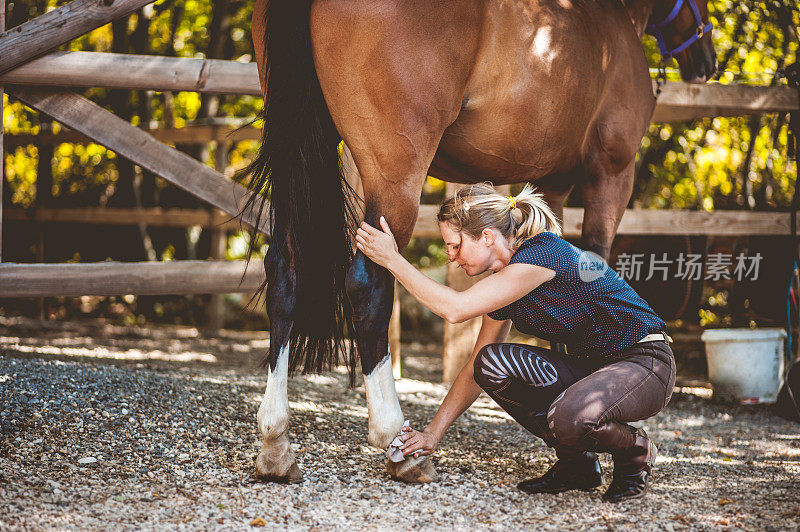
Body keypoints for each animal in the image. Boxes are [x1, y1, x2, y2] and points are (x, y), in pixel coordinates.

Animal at [247, 0, 716, 484]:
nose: (706, 61)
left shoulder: (555, 181)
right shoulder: (612, 172)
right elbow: (593, 261)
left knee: (285, 271)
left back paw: (276, 444)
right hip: (395, 171)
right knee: (367, 284)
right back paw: (398, 442)